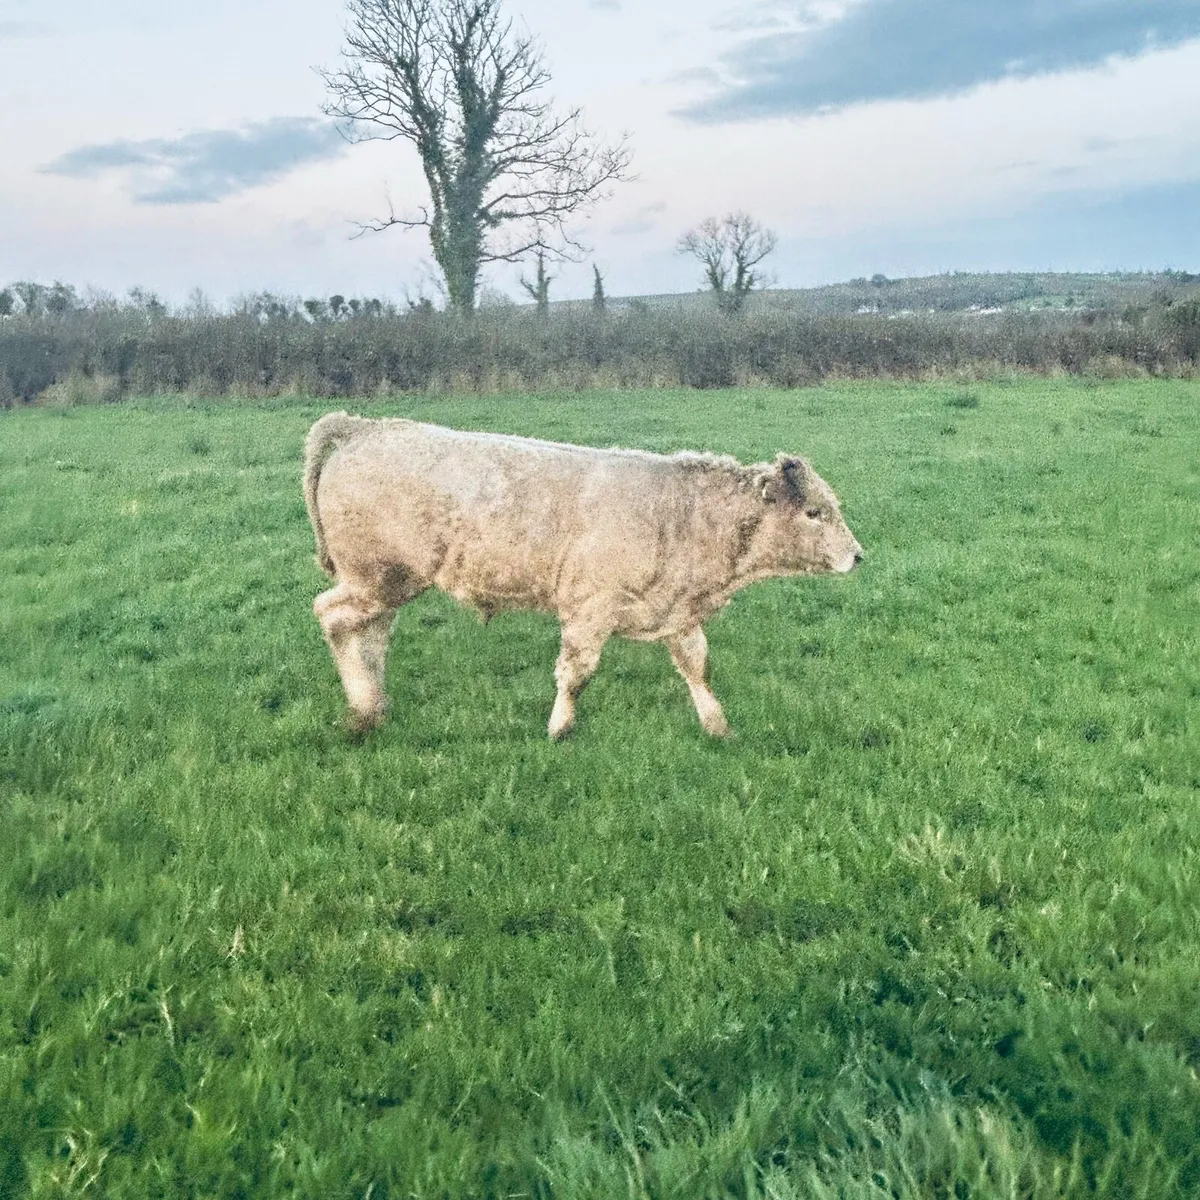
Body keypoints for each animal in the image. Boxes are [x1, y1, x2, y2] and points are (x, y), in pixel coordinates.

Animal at [303, 413, 863, 739]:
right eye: (814, 512)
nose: (858, 556)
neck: (680, 515)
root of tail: (361, 426)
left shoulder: (679, 612)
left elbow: (697, 666)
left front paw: (717, 727)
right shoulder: (589, 609)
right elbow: (577, 672)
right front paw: (559, 729)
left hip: (386, 585)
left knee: (370, 632)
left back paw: (373, 707)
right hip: (375, 577)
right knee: (333, 616)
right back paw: (363, 710)